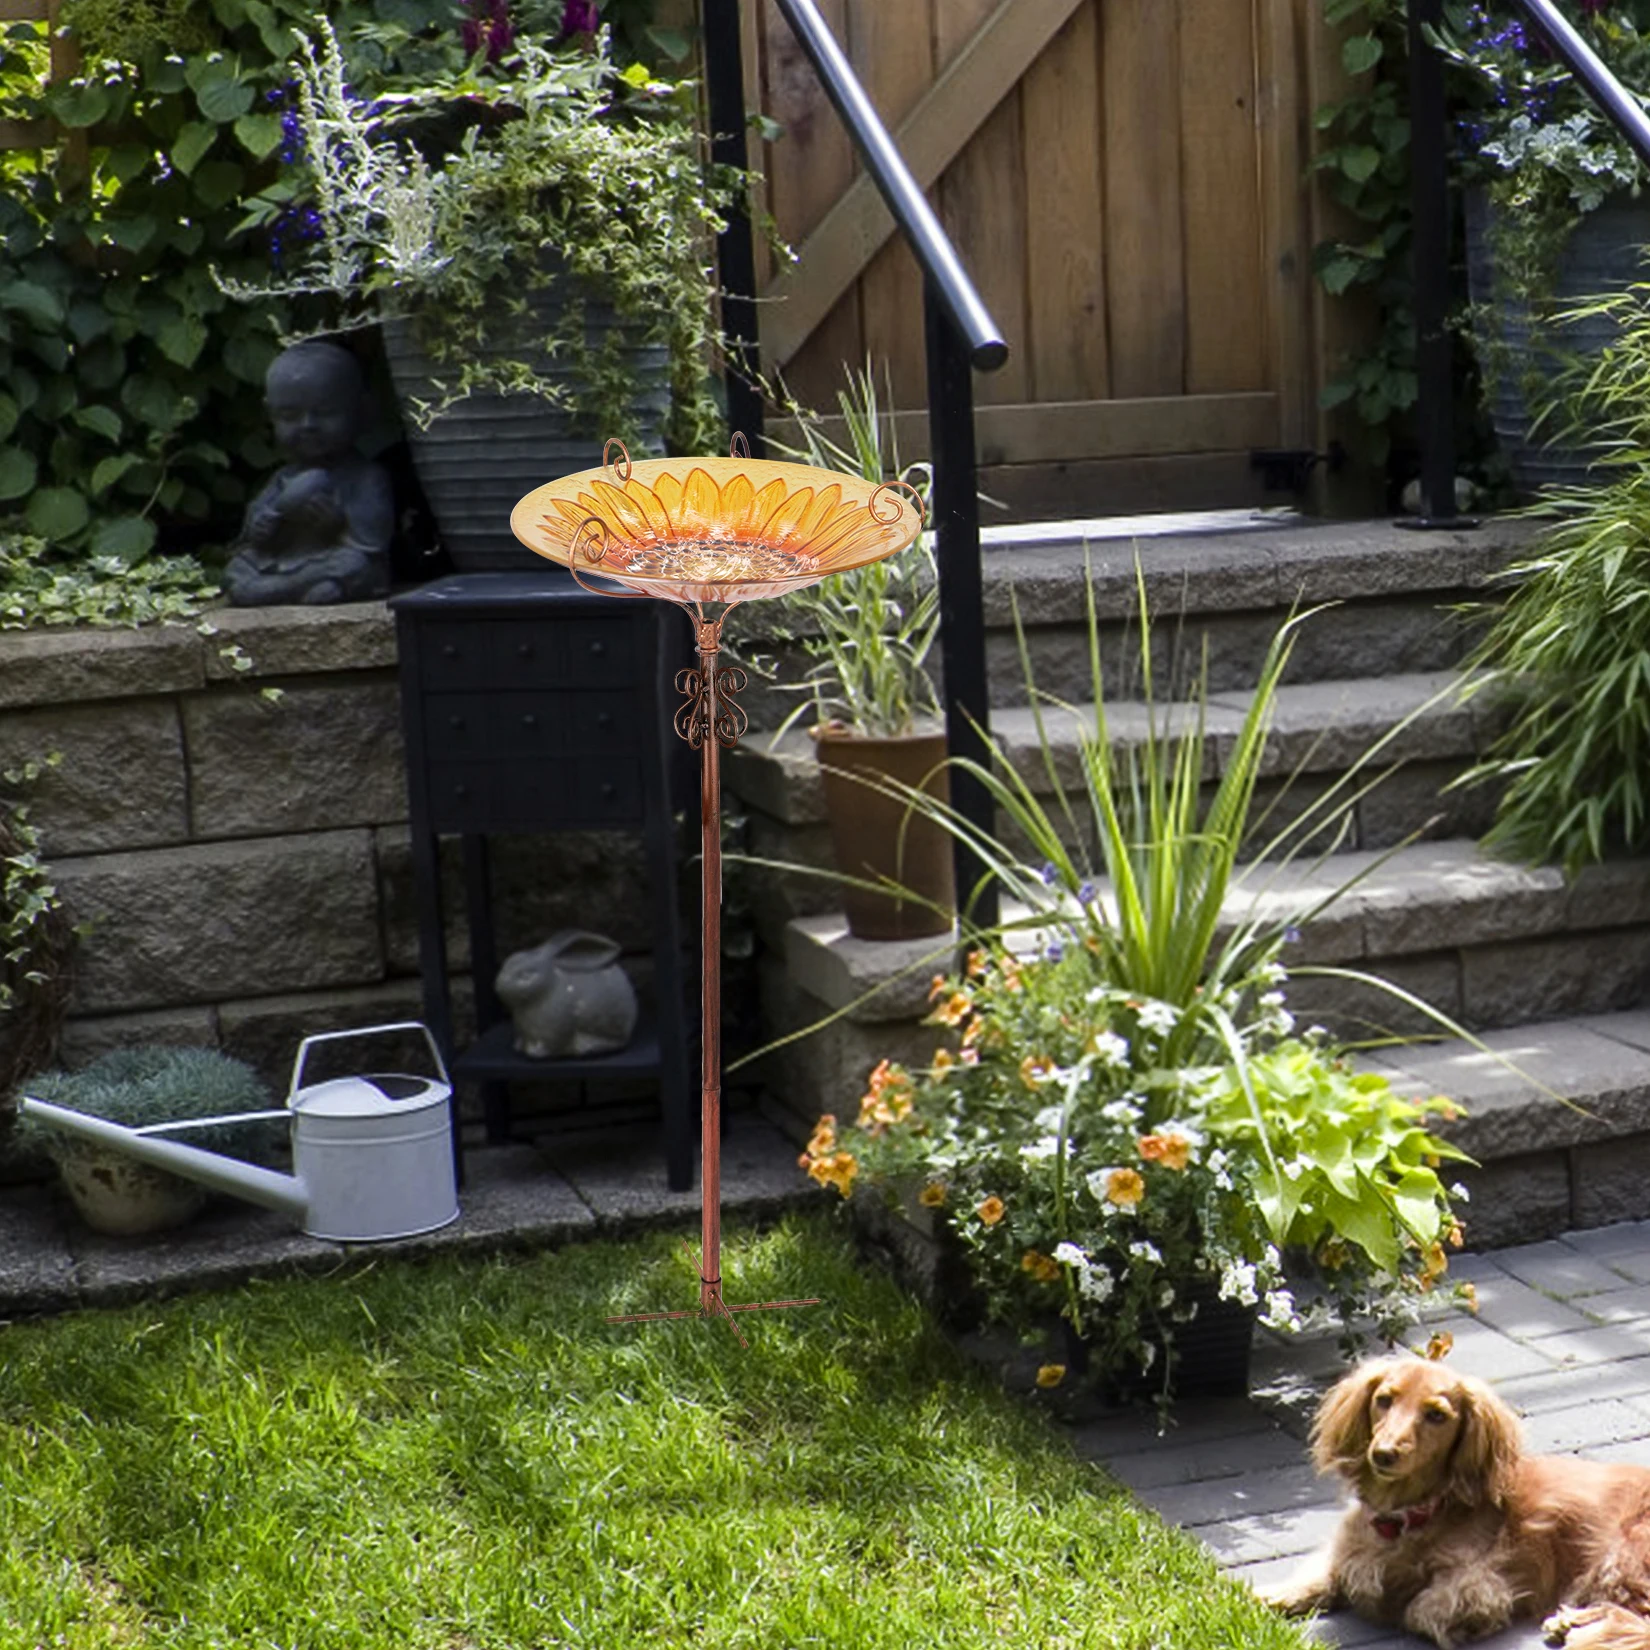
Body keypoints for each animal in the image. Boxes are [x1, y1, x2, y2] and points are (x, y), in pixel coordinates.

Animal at [1254, 1359, 1650, 1643]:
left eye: (1436, 1415)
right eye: (1383, 1400)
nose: (1383, 1454)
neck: (1407, 1516)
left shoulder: (1481, 1576)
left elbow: (1422, 1608)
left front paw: (1463, 1624)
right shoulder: (1351, 1547)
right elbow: (1327, 1570)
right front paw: (1274, 1595)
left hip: (1622, 1557)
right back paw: (1570, 1621)